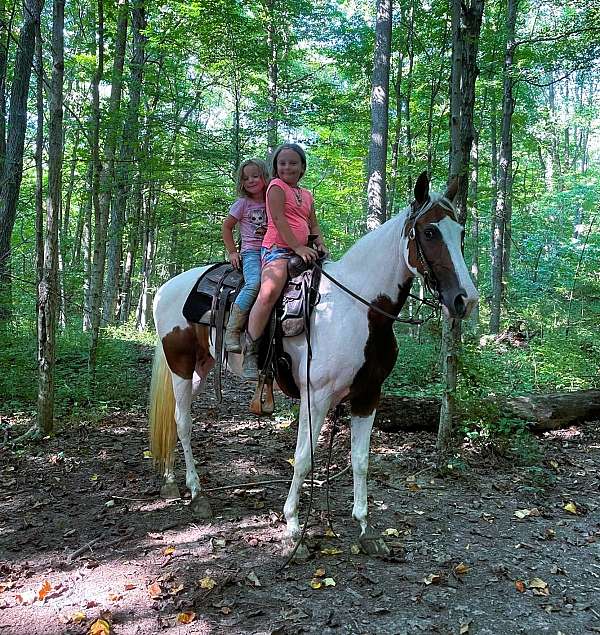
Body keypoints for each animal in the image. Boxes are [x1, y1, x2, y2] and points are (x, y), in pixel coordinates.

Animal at [149, 173, 478, 556]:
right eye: (429, 232)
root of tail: (166, 288)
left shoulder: (368, 395)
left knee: (174, 419)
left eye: (460, 232)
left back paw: (171, 481)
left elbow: (360, 460)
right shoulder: (316, 397)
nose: (466, 300)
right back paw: (196, 493)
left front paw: (365, 528)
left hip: (200, 369)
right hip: (180, 365)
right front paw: (293, 528)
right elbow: (304, 458)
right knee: (183, 422)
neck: (359, 309)